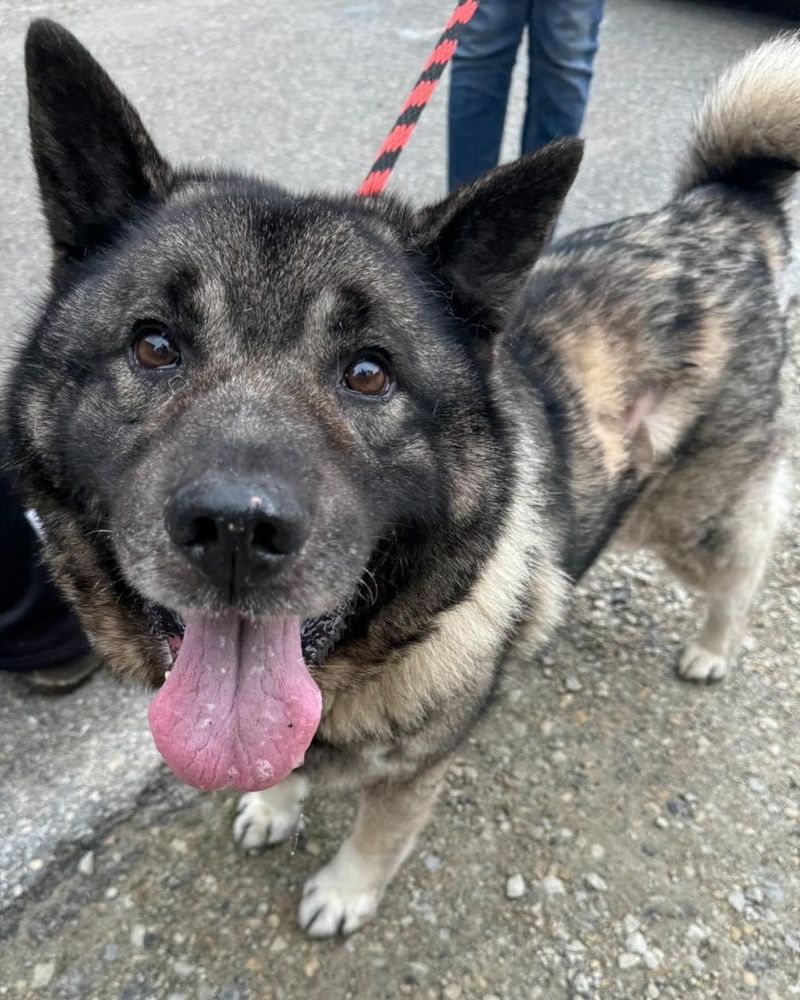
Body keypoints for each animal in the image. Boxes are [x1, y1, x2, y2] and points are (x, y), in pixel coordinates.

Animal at [6, 21, 792, 936]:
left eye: (369, 373)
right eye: (154, 345)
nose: (236, 528)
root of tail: (720, 209)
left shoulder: (418, 766)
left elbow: (379, 834)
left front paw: (345, 891)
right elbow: (282, 762)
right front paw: (274, 804)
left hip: (692, 515)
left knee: (745, 559)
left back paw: (713, 648)